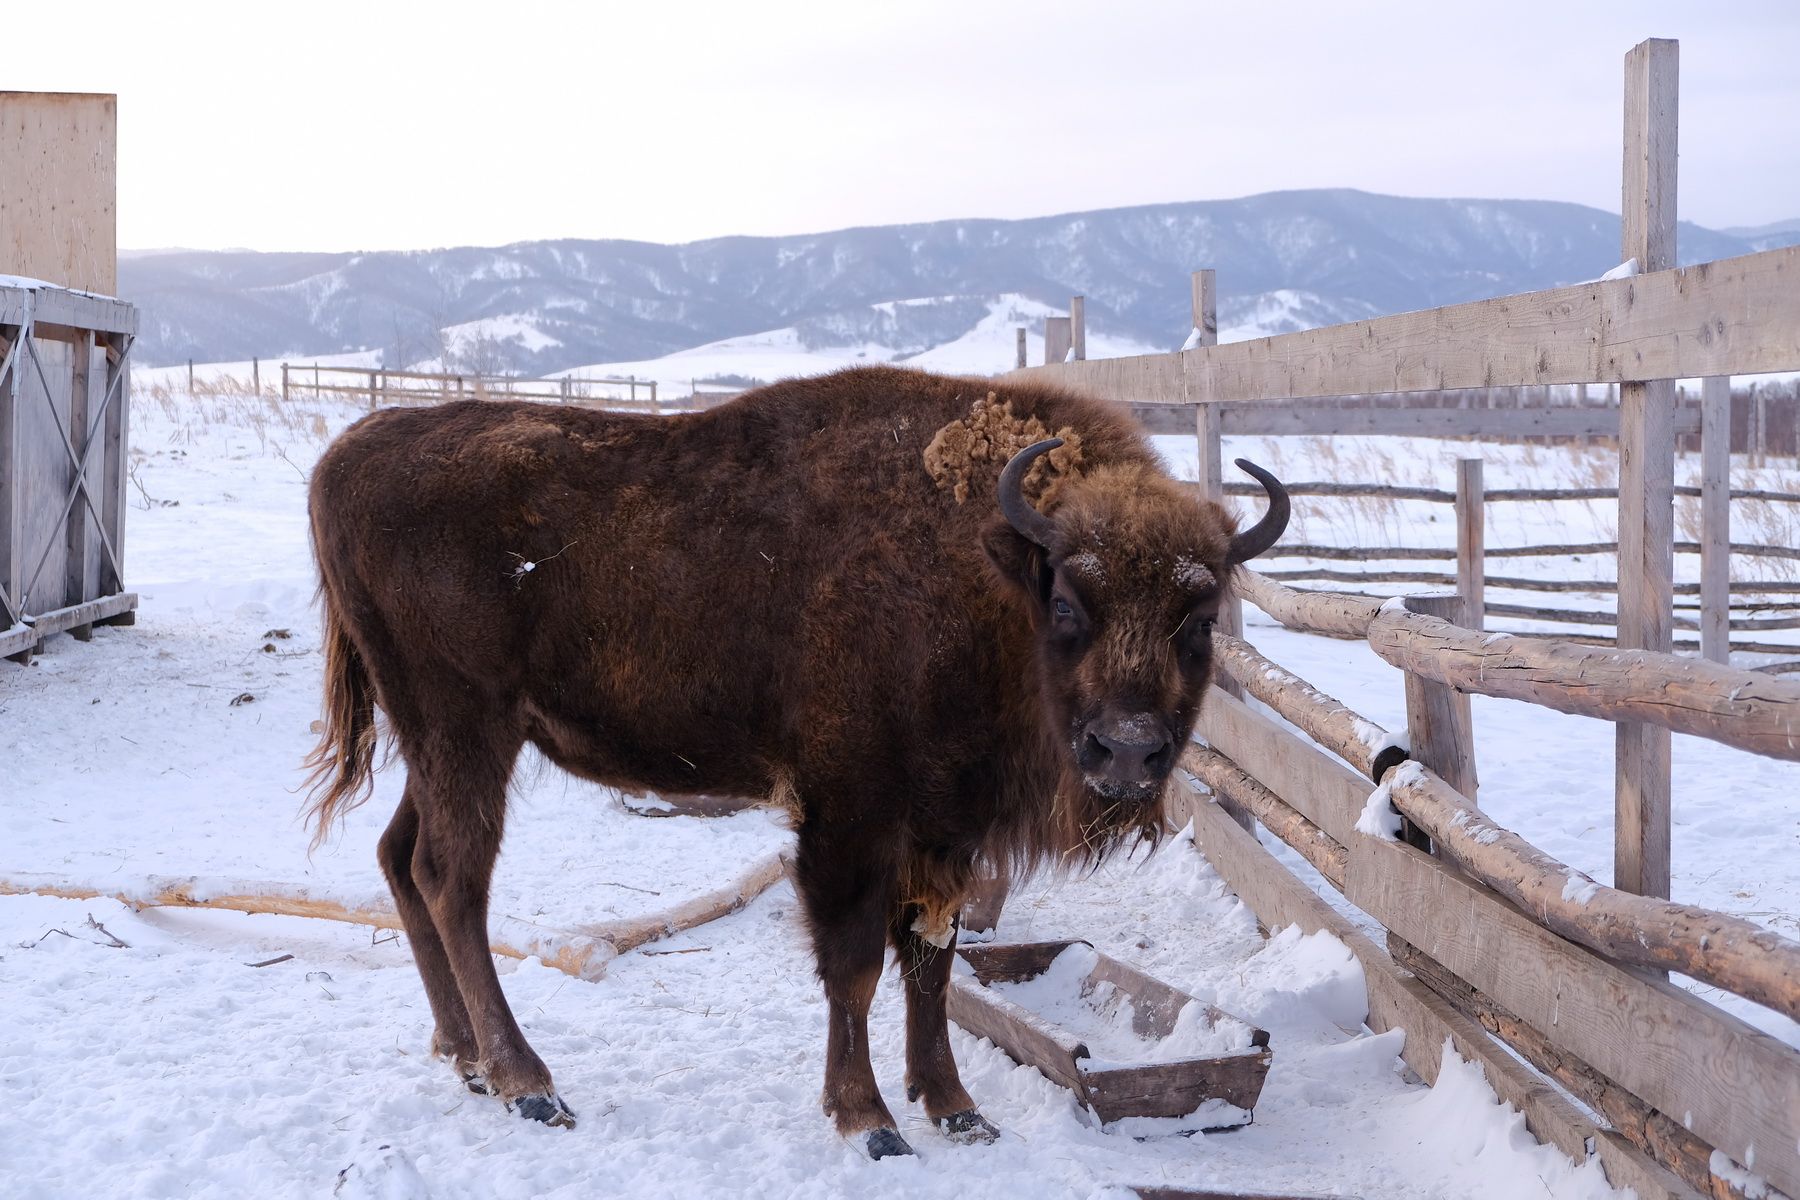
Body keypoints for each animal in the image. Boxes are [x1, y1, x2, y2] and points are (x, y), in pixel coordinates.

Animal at [302, 363, 1288, 1151]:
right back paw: (528, 1084)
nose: (1127, 752)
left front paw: (958, 1110)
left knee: (401, 857)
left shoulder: (946, 828)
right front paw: (870, 1122)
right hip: (466, 731)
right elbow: (854, 965)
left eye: (1200, 621)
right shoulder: (850, 815)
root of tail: (343, 456)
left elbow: (931, 963)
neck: (985, 568)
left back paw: (465, 1057)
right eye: (1070, 604)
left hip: (440, 743)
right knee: (452, 879)